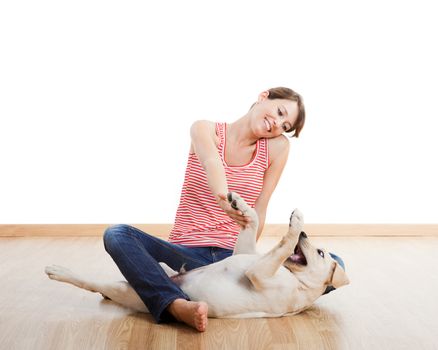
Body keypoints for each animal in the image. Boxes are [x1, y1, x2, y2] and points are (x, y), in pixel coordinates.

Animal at [45, 193, 350, 318]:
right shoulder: (247, 254)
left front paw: (296, 223)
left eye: (320, 253)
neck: (296, 279)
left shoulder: (258, 272)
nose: (305, 235)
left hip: (128, 291)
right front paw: (240, 204)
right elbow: (251, 224)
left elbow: (283, 245)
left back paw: (58, 271)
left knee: (93, 284)